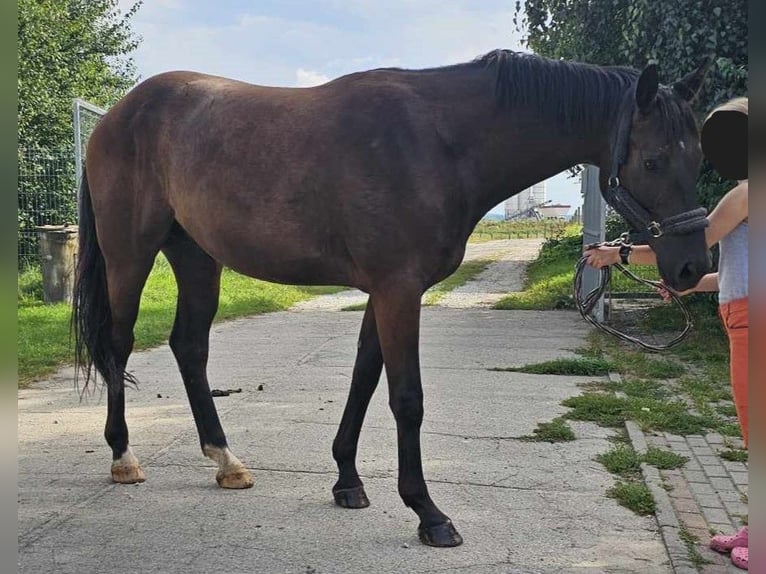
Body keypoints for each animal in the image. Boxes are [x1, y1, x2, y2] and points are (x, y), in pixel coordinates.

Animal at [73, 50, 712, 548]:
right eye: (652, 160)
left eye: (698, 157)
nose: (692, 267)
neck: (439, 142)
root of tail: (115, 118)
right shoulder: (399, 289)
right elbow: (406, 397)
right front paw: (428, 513)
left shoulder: (383, 291)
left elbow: (362, 377)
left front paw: (347, 482)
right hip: (131, 255)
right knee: (120, 344)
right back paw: (123, 458)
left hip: (197, 257)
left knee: (190, 347)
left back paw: (226, 460)